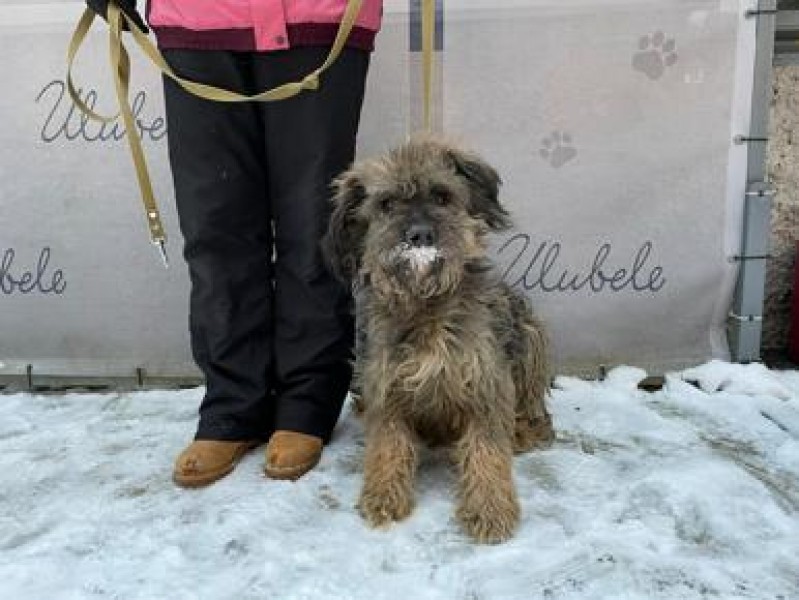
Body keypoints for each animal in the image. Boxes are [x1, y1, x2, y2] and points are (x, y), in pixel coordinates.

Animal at [322, 135, 554, 543]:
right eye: (386, 204)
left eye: (442, 196)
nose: (420, 235)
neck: (425, 303)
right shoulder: (385, 388)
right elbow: (388, 445)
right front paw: (383, 497)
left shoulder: (485, 383)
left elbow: (487, 451)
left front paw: (490, 510)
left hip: (527, 331)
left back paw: (524, 431)